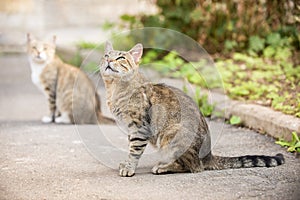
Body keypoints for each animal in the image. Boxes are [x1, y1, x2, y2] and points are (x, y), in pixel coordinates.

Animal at [99, 41, 284, 177]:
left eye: (121, 57)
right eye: (106, 55)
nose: (108, 61)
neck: (115, 89)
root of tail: (208, 156)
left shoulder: (139, 127)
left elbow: (134, 150)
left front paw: (129, 168)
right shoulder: (131, 129)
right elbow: (131, 147)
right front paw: (126, 164)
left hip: (171, 135)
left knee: (193, 167)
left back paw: (164, 166)